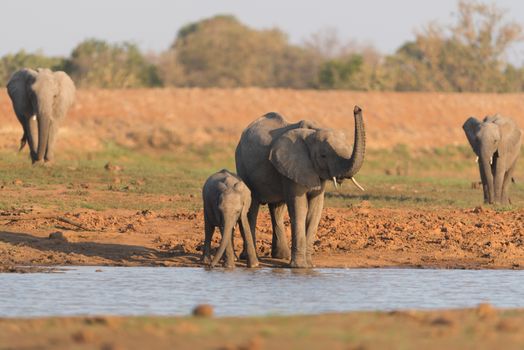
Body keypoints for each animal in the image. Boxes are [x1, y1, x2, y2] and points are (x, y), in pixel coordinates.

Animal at [236, 105, 364, 266]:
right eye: (323, 155)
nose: (357, 108)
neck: (312, 132)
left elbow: (315, 209)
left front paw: (309, 265)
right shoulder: (294, 165)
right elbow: (300, 208)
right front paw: (299, 267)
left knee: (277, 209)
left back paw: (281, 256)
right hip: (242, 164)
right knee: (252, 209)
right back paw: (248, 257)